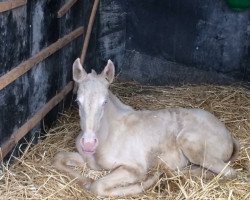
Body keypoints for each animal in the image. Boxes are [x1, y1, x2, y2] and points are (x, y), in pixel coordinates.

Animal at [53, 57, 238, 197]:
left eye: (104, 102)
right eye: (78, 102)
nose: (89, 144)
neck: (108, 135)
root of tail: (228, 134)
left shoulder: (135, 168)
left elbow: (98, 186)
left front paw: (150, 180)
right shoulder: (85, 159)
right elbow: (58, 158)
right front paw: (85, 180)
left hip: (190, 143)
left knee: (229, 172)